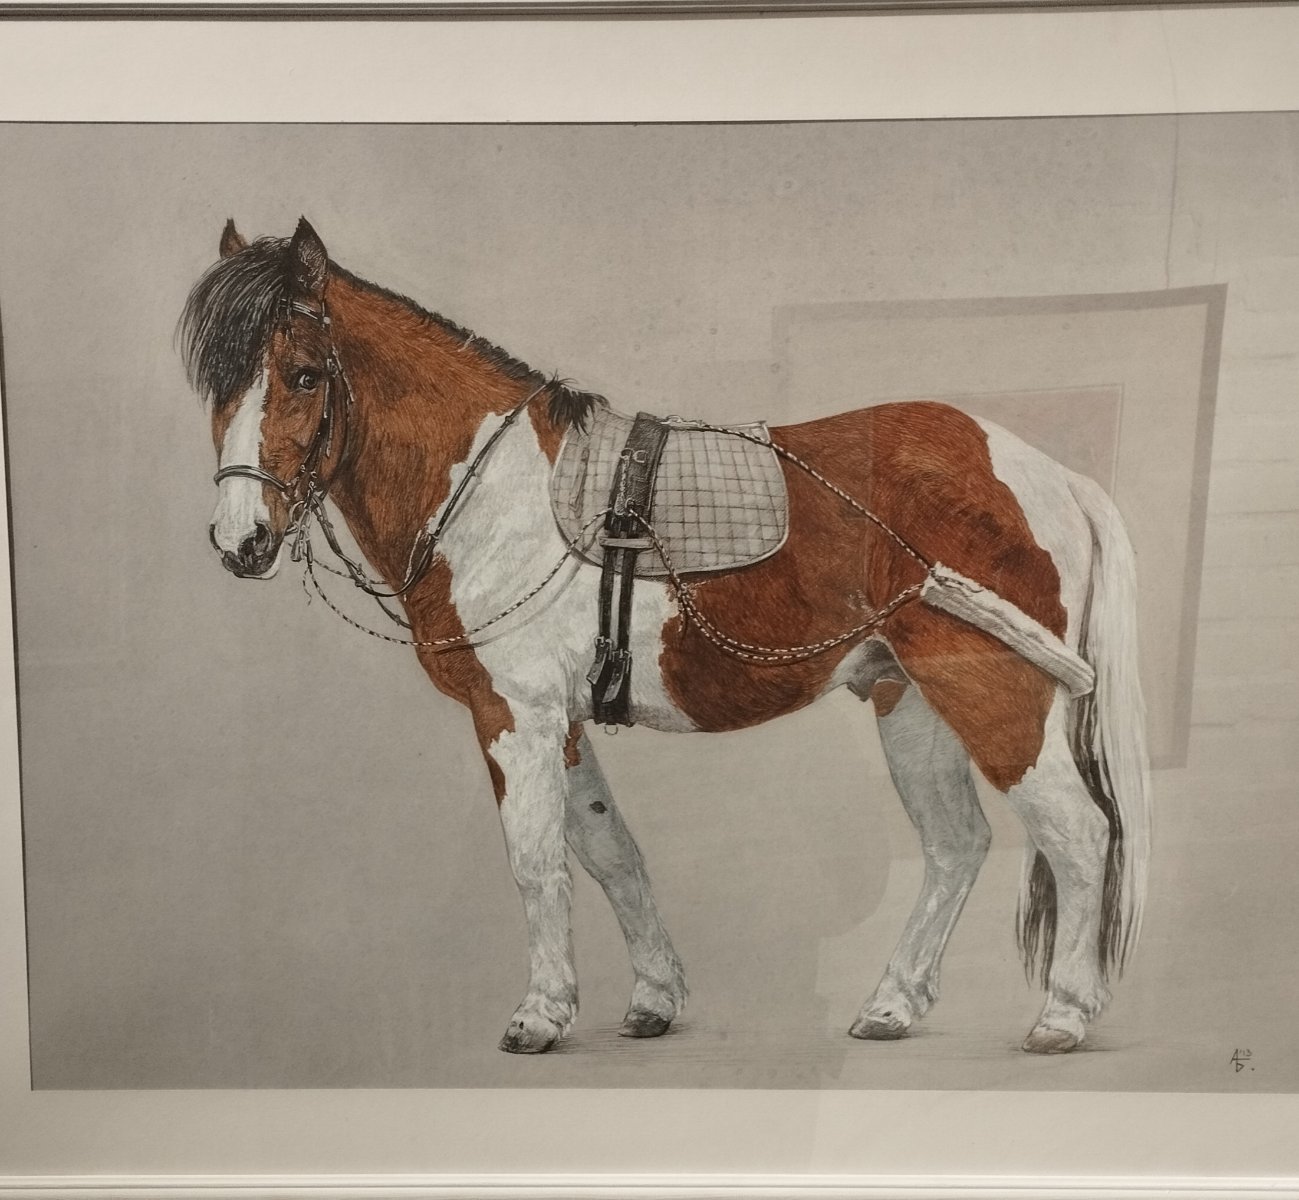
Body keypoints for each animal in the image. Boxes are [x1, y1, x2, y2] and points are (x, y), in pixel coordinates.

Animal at [180, 217, 1150, 1056]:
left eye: (305, 374)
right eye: (219, 381)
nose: (240, 541)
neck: (494, 490)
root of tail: (1050, 475)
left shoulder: (515, 716)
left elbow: (536, 862)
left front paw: (540, 1016)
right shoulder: (563, 722)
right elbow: (609, 851)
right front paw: (652, 999)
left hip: (996, 695)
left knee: (1077, 833)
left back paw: (1062, 1016)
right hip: (907, 699)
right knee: (956, 845)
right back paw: (891, 1006)